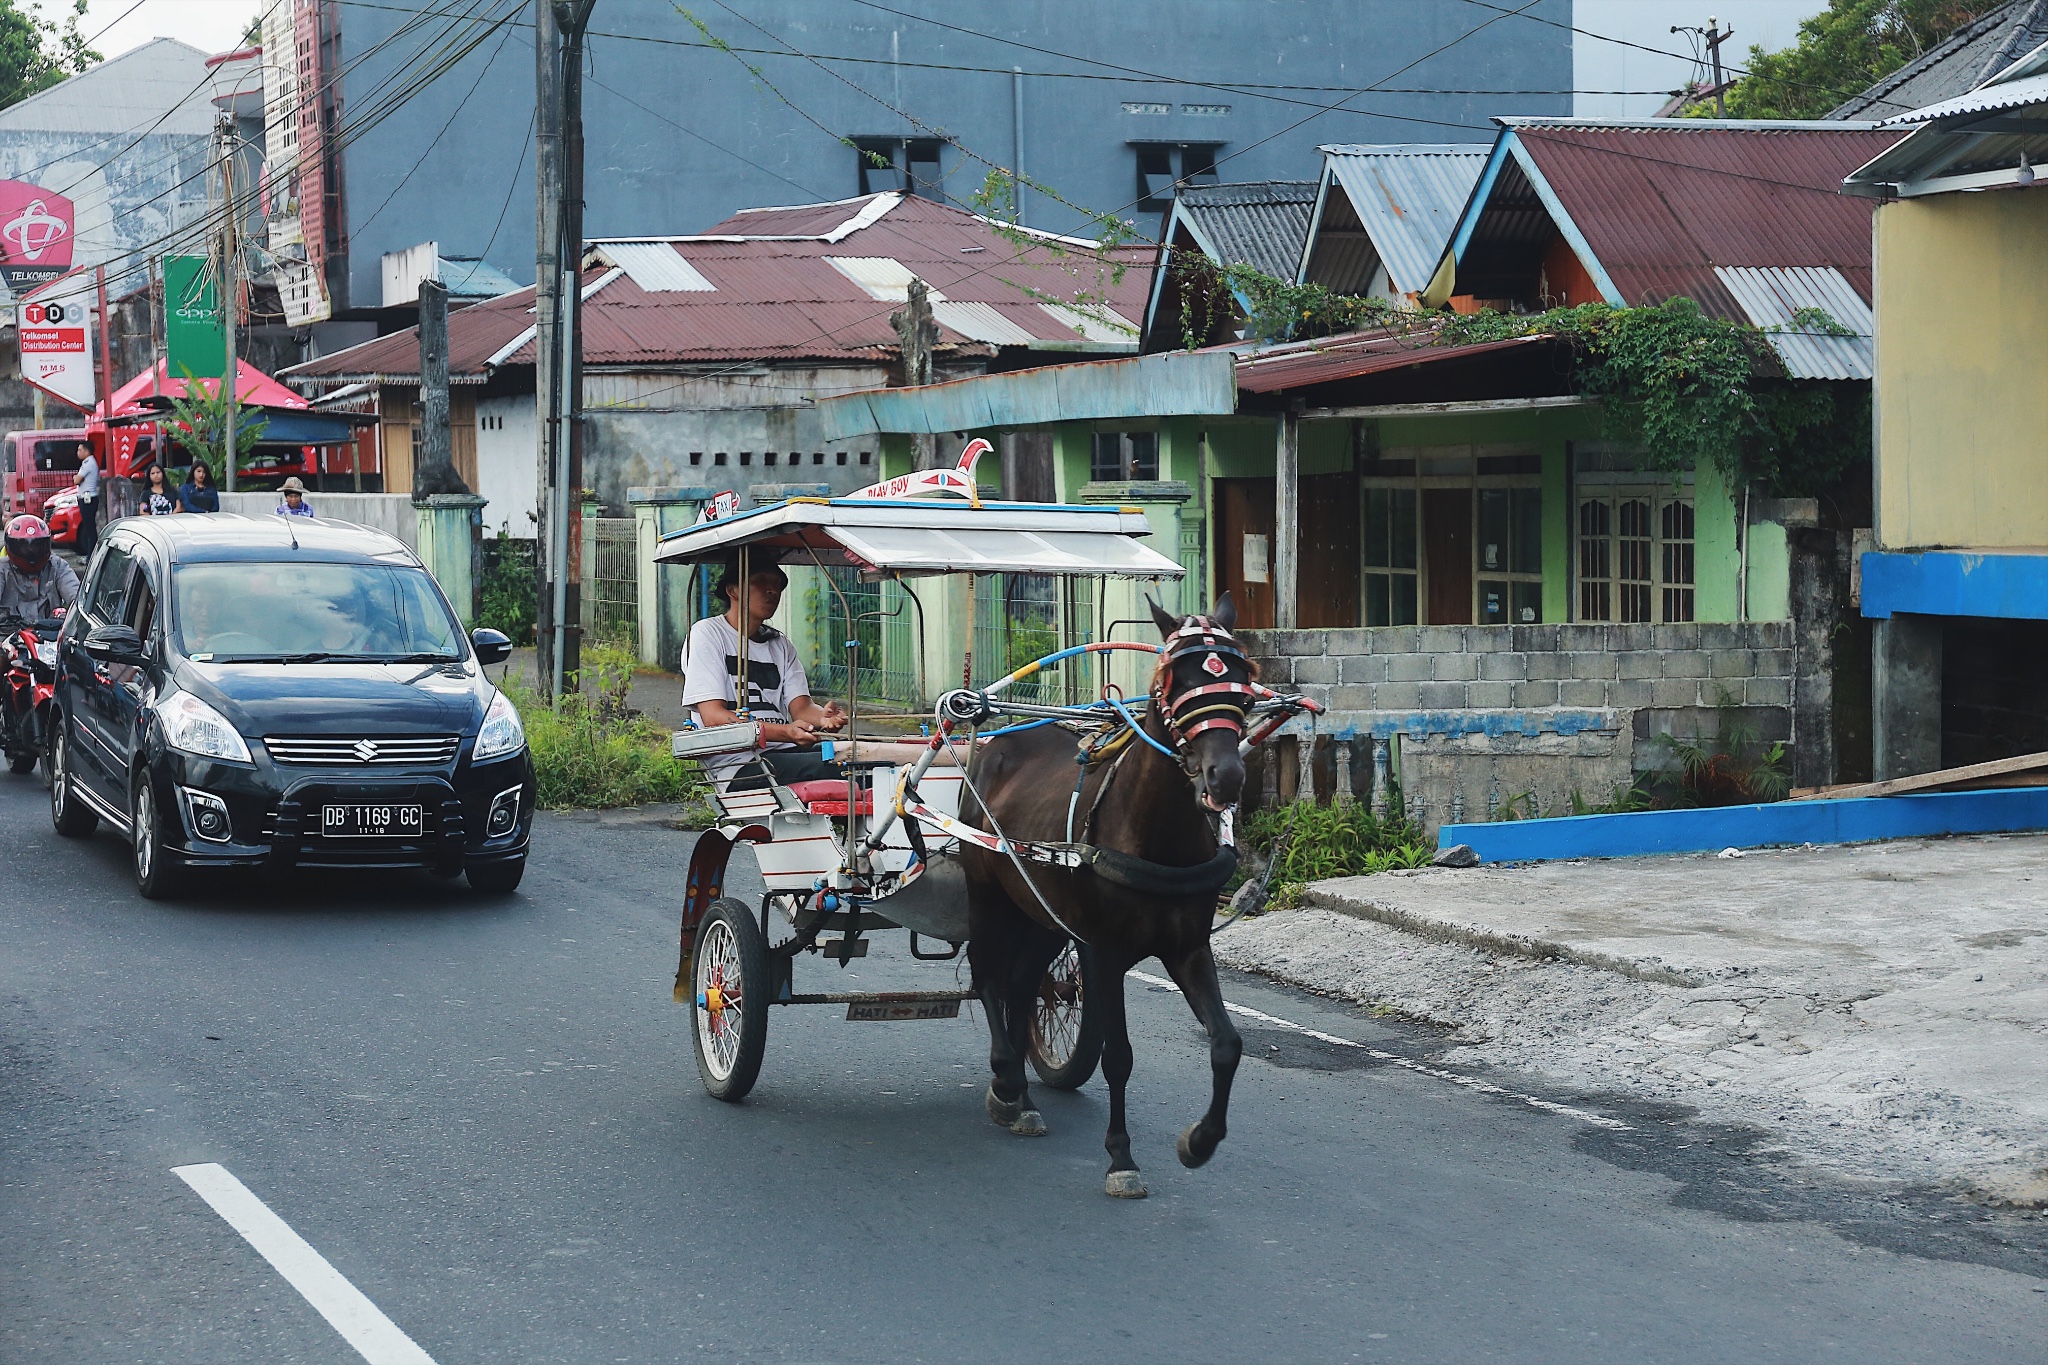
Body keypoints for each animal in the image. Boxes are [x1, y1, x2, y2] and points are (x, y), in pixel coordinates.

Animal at [962, 589, 1261, 1195]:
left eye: (1241, 675)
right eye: (1178, 679)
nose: (1226, 777)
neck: (1156, 834)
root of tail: (995, 745)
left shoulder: (1188, 948)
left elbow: (1227, 1045)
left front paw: (1200, 1141)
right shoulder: (1103, 952)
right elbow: (1118, 1056)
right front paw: (1121, 1157)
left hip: (1041, 914)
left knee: (1022, 984)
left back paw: (1023, 1094)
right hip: (987, 895)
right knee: (988, 979)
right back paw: (1005, 1081)